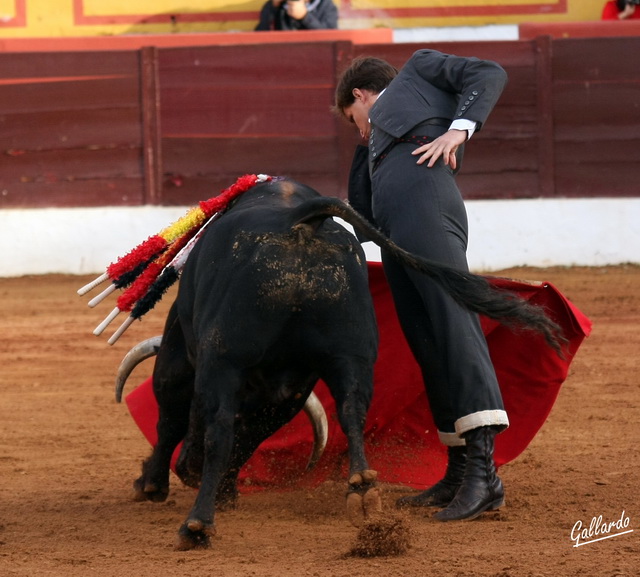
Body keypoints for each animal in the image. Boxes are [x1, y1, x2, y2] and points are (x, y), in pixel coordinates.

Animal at [116, 177, 564, 548]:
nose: (188, 471)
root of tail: (301, 222)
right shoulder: (288, 390)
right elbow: (253, 434)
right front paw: (225, 490)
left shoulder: (183, 351)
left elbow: (173, 411)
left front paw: (152, 484)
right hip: (352, 354)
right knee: (351, 411)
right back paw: (363, 490)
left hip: (223, 358)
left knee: (220, 430)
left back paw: (197, 525)